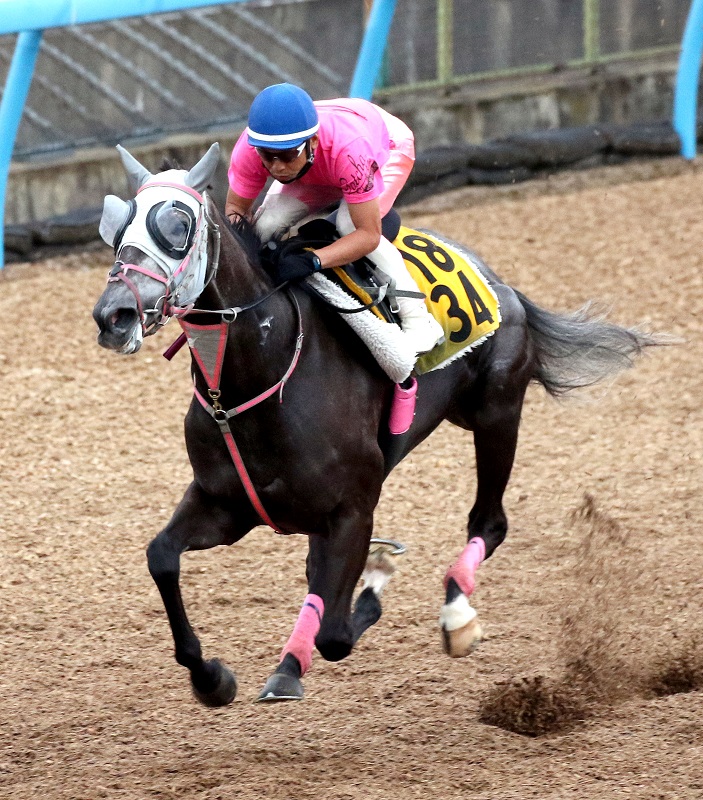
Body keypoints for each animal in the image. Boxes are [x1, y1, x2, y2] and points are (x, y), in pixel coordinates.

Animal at [91, 144, 656, 708]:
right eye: (115, 230)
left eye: (177, 225)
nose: (112, 316)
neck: (253, 381)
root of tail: (499, 282)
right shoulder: (224, 504)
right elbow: (162, 557)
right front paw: (211, 677)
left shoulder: (353, 510)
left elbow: (336, 634)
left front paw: (366, 591)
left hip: (497, 411)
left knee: (489, 522)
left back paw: (456, 616)